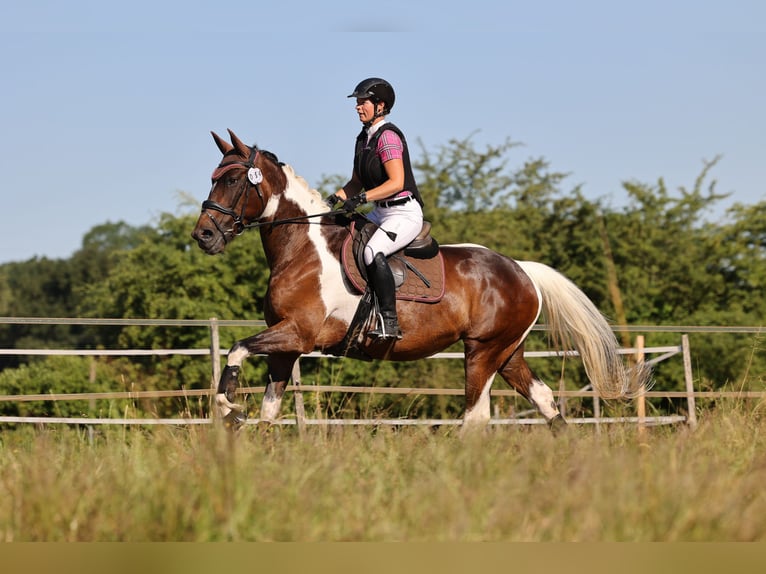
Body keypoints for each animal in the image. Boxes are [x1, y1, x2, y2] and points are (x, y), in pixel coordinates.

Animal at [191, 129, 651, 432]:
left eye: (232, 179)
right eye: (213, 177)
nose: (203, 236)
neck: (301, 248)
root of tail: (521, 269)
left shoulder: (299, 334)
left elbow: (235, 350)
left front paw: (230, 406)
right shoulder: (286, 348)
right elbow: (269, 411)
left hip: (482, 351)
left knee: (476, 414)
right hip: (507, 352)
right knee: (543, 401)